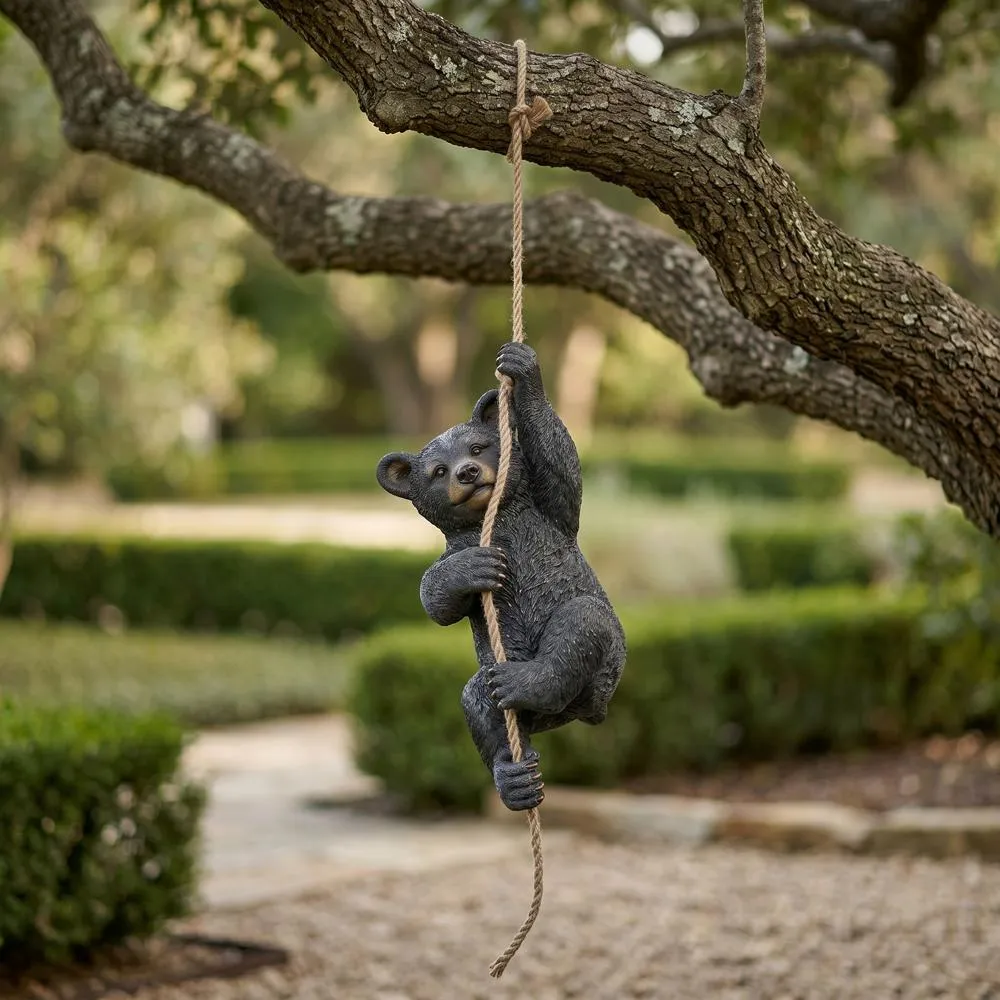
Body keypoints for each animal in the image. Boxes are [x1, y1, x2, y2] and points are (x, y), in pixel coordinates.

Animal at [376, 341, 626, 812]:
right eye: (438, 470)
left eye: (478, 447)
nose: (467, 472)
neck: (496, 518)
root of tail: (586, 713)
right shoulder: (456, 545)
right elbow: (435, 599)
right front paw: (474, 567)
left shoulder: (551, 517)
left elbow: (564, 473)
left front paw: (521, 368)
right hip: (500, 681)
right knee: (476, 700)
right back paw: (515, 778)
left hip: (608, 666)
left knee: (582, 620)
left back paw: (527, 682)